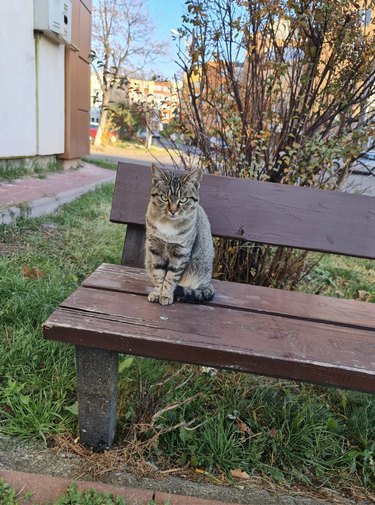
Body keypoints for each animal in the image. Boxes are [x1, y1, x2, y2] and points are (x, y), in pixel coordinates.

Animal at [145, 163, 214, 306]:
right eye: (164, 198)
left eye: (183, 200)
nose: (173, 211)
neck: (168, 224)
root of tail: (209, 283)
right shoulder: (155, 249)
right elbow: (159, 274)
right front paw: (157, 293)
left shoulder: (181, 253)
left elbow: (171, 277)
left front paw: (166, 295)